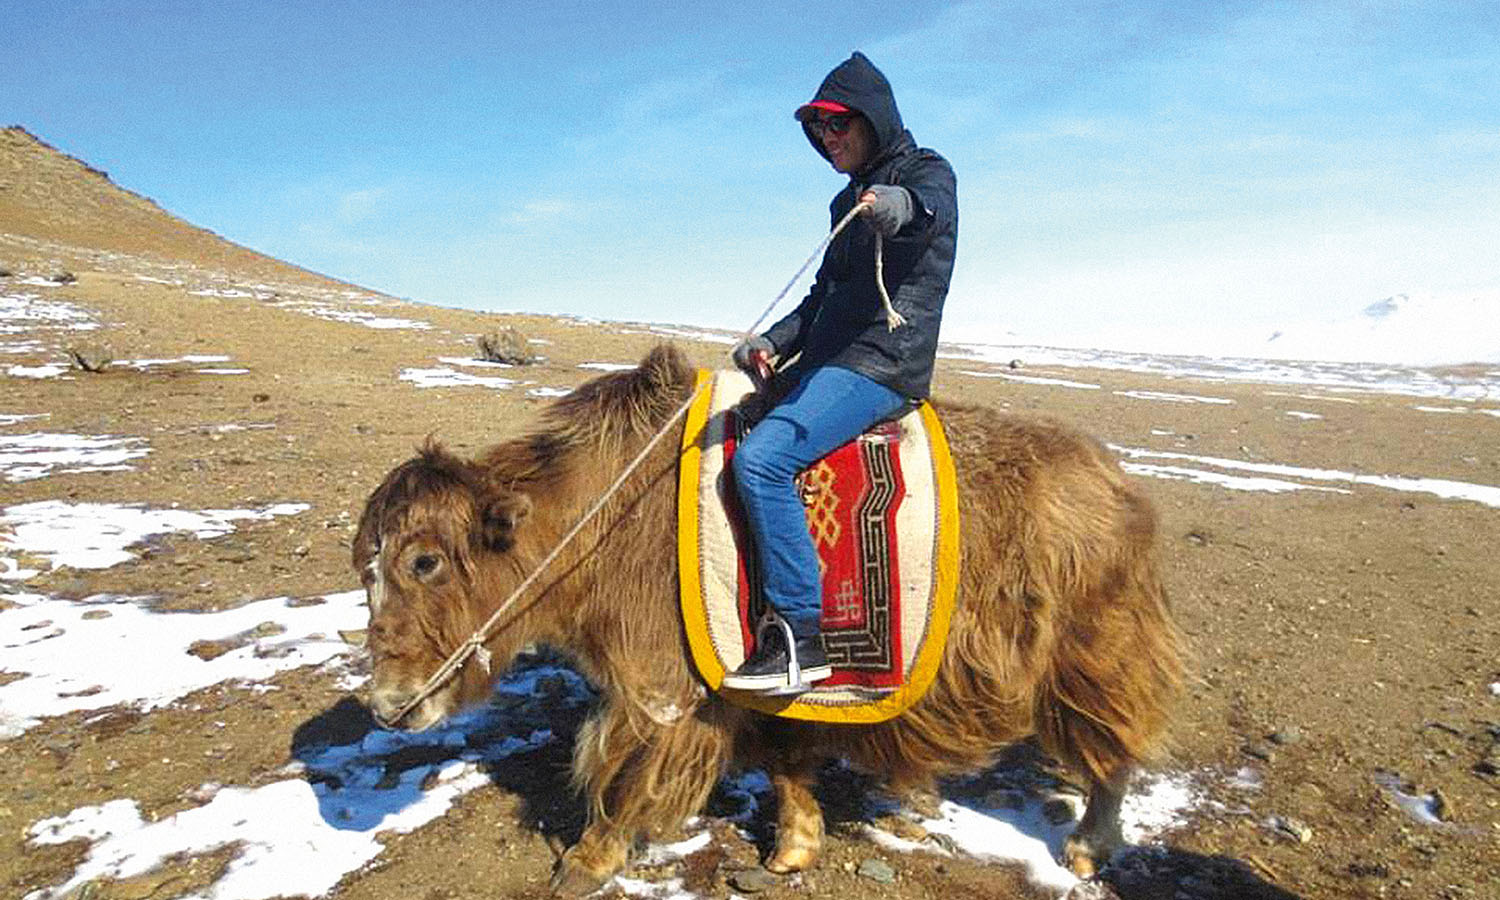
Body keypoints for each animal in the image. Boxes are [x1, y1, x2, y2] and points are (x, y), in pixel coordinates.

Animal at [353, 343, 1183, 894]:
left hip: (1093, 649)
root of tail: (1120, 483)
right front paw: (793, 850)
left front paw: (585, 862)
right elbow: (785, 764)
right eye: (365, 569)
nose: (388, 707)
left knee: (1113, 751)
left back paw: (1086, 848)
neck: (599, 511)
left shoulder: (664, 684)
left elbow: (627, 773)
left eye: (424, 562)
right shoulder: (769, 684)